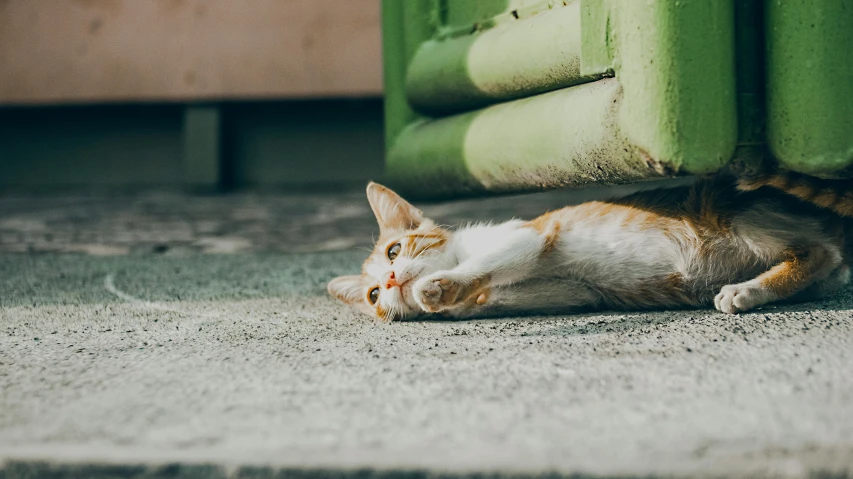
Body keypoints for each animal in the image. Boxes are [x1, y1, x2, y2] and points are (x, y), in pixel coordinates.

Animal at [330, 172, 848, 322]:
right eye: (373, 296)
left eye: (394, 251)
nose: (390, 278)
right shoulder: (570, 291)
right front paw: (455, 298)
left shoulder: (528, 234)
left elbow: (489, 260)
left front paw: (440, 286)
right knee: (829, 266)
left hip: (734, 210)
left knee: (825, 252)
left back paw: (745, 290)